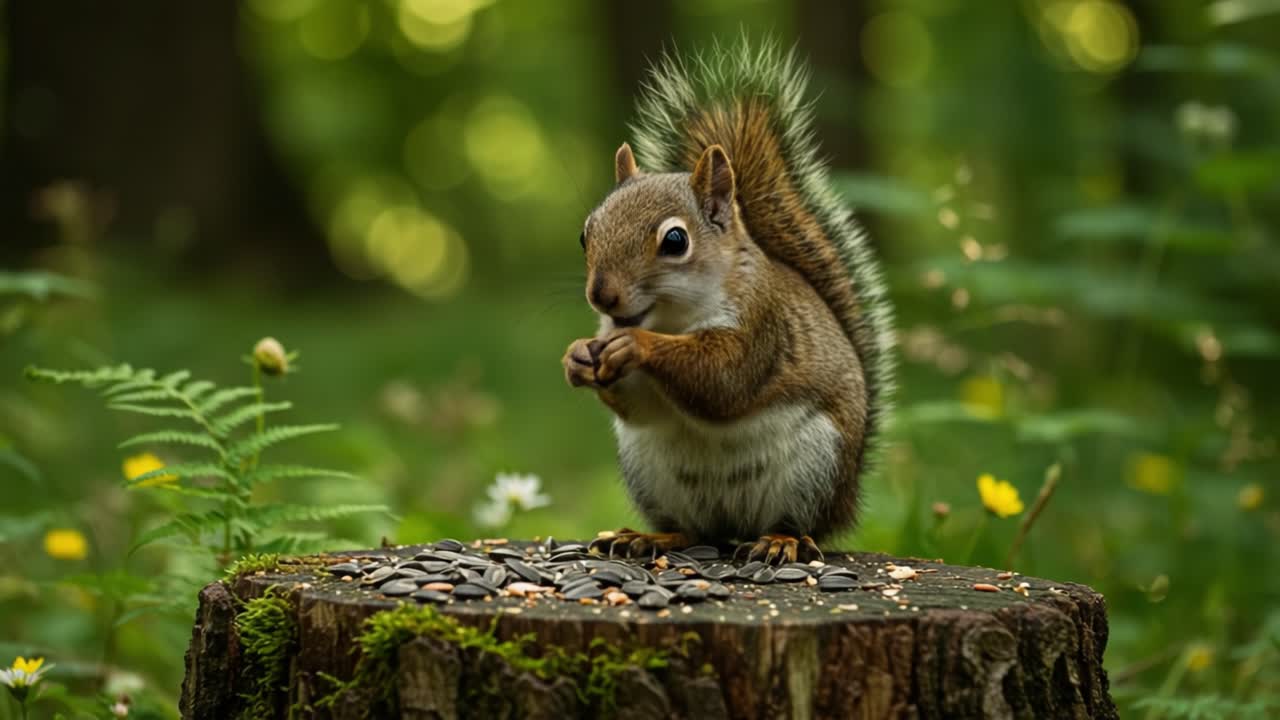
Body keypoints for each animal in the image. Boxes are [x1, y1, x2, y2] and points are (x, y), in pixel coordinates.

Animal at [562, 41, 895, 565]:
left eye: (675, 240)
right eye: (585, 232)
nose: (601, 295)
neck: (670, 318)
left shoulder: (762, 324)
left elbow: (723, 379)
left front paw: (637, 345)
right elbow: (641, 406)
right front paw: (576, 356)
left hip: (815, 467)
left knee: (796, 526)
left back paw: (779, 542)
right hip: (650, 473)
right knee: (693, 530)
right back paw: (651, 537)